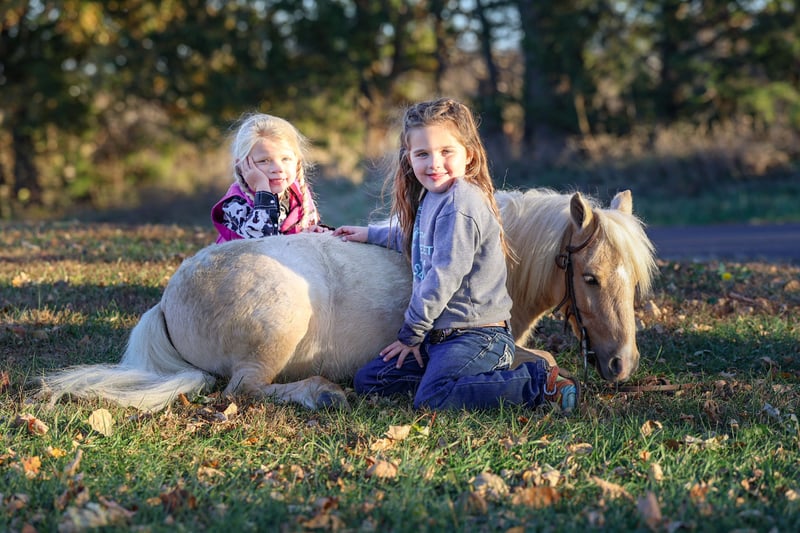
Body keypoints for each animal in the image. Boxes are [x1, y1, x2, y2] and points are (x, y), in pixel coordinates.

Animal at [38, 188, 657, 411]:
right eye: (592, 279)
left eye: (633, 282)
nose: (623, 364)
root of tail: (168, 299)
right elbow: (544, 360)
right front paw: (548, 382)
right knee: (244, 388)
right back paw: (319, 393)